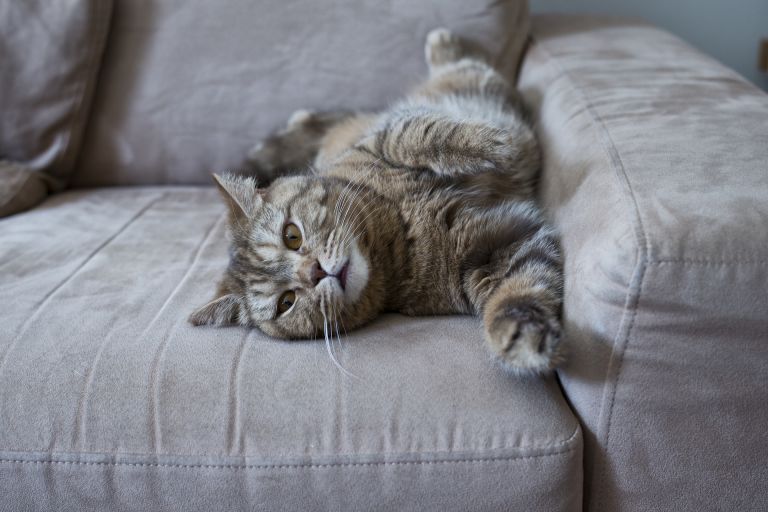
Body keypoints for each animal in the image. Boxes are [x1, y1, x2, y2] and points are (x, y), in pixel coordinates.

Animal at [190, 30, 564, 374]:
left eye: (291, 236)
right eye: (286, 302)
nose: (315, 272)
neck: (397, 230)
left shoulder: (382, 140)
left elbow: (420, 135)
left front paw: (493, 144)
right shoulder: (492, 252)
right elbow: (520, 289)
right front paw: (520, 339)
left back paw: (441, 45)